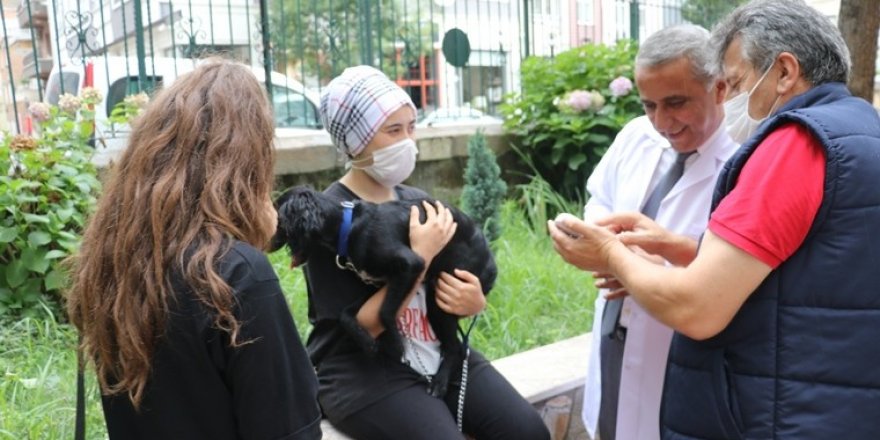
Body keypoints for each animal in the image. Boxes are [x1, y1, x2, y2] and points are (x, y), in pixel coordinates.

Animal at [272, 184, 498, 398]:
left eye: (278, 219)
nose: (267, 244)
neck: (349, 227)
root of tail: (492, 264)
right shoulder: (381, 283)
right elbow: (346, 314)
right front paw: (368, 343)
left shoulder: (411, 265)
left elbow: (385, 312)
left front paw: (397, 344)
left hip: (441, 295)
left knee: (453, 346)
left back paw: (439, 383)